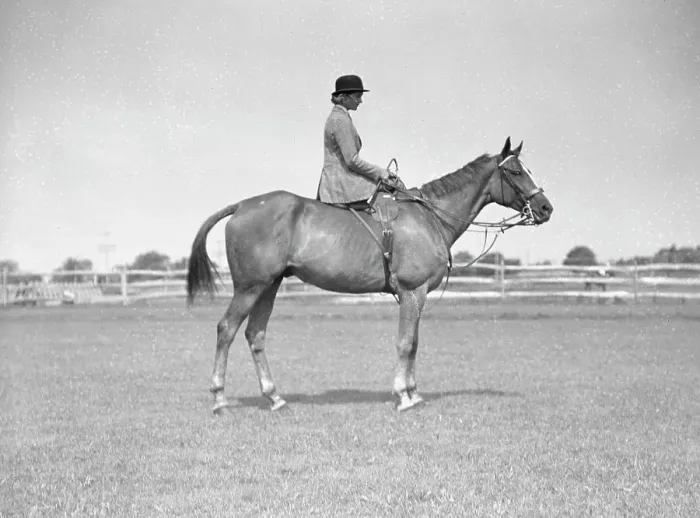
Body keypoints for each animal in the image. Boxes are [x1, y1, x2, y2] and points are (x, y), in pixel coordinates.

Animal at [187, 137, 553, 413]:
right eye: (516, 172)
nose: (546, 208)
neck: (428, 217)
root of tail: (242, 206)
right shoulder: (412, 291)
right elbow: (405, 342)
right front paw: (404, 396)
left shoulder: (417, 296)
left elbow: (414, 342)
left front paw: (414, 392)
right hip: (250, 287)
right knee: (226, 329)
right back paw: (219, 399)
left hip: (270, 286)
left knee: (255, 335)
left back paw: (274, 397)